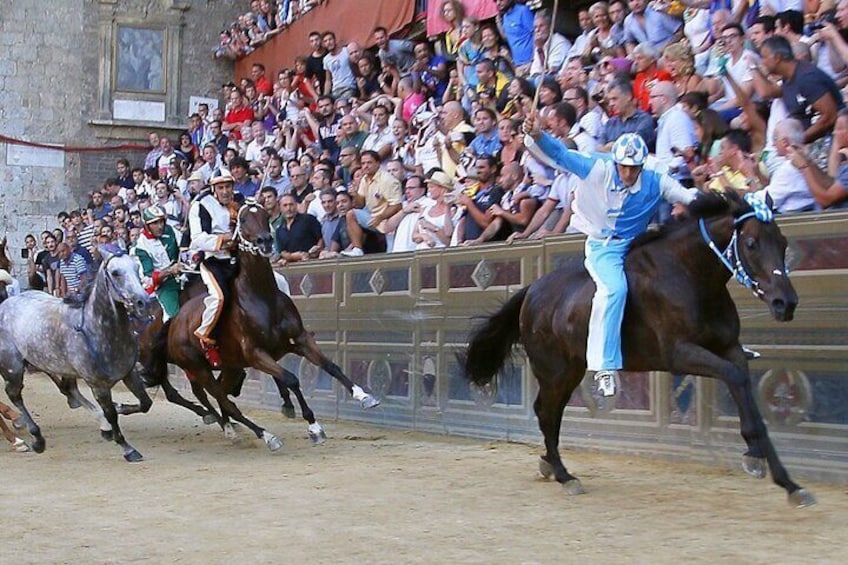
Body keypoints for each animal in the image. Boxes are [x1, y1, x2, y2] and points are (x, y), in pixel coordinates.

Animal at [0, 246, 153, 458]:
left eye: (137, 267)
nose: (143, 303)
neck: (97, 330)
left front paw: (119, 409)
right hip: (13, 368)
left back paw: (102, 427)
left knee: (68, 389)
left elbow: (145, 403)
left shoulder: (129, 373)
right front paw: (128, 449)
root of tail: (6, 303)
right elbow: (112, 414)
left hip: (53, 364)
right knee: (14, 395)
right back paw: (36, 439)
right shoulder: (98, 384)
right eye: (115, 272)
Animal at [157, 198, 380, 450]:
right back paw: (260, 434)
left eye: (265, 216)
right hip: (198, 367)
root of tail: (175, 322)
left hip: (232, 366)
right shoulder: (256, 354)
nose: (265, 240)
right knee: (220, 397)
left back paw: (231, 427)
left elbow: (330, 365)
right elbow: (291, 379)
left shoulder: (298, 339)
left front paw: (364, 396)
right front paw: (314, 426)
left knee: (223, 394)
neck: (262, 297)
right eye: (243, 219)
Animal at [464, 191, 816, 506]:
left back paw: (550, 465)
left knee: (551, 412)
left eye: (783, 243)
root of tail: (532, 291)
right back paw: (565, 475)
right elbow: (735, 378)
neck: (689, 275)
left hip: (571, 370)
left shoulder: (729, 349)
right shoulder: (680, 354)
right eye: (752, 243)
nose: (786, 303)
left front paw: (788, 482)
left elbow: (746, 392)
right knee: (545, 412)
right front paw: (755, 456)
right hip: (554, 371)